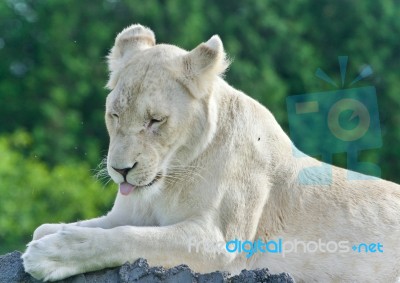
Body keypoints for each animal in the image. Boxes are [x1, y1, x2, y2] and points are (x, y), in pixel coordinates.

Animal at [22, 25, 400, 283]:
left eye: (155, 120)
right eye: (114, 115)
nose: (121, 170)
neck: (171, 179)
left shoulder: (221, 245)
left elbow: (127, 238)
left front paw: (48, 254)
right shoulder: (128, 212)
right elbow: (58, 226)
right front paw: (47, 236)